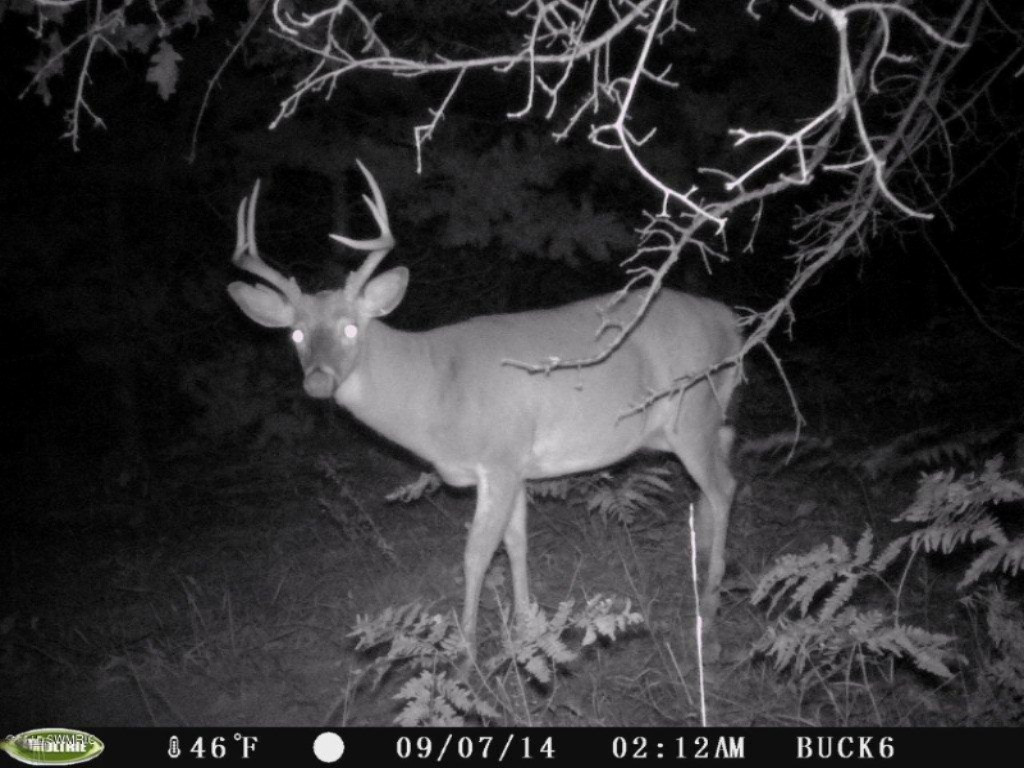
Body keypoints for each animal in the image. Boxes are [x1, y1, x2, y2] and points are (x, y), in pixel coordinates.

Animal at [227, 162, 742, 662]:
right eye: (295, 334)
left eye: (351, 328)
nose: (317, 380)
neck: (435, 387)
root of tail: (730, 320)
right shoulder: (514, 466)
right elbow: (515, 545)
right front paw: (525, 632)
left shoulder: (500, 456)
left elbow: (476, 553)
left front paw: (469, 654)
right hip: (695, 419)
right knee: (724, 457)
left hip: (692, 415)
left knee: (724, 486)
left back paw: (711, 621)